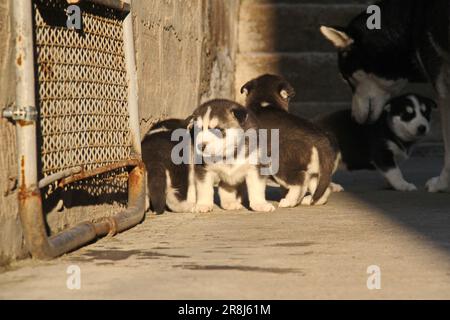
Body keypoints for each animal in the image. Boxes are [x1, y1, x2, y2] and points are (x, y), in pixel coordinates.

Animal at [241, 74, 340, 208]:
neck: (264, 103)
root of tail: (318, 137)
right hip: (315, 170)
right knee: (321, 189)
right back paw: (308, 200)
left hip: (278, 162)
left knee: (300, 181)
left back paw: (288, 201)